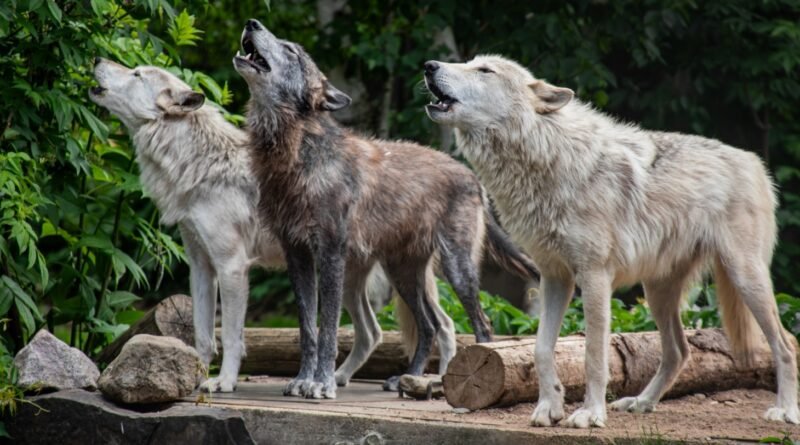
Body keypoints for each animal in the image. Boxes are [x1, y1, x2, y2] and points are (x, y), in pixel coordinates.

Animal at [88, 58, 415, 393]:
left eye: (137, 74)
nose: (98, 60)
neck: (198, 165)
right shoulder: (201, 267)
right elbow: (203, 336)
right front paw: (193, 378)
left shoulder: (232, 267)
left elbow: (232, 337)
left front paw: (224, 382)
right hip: (347, 283)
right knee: (372, 332)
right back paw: (337, 378)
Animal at [234, 20, 538, 399]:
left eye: (291, 50)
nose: (252, 23)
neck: (298, 151)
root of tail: (470, 174)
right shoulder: (298, 256)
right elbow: (307, 329)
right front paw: (303, 379)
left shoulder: (330, 255)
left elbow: (327, 328)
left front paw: (321, 384)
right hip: (403, 273)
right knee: (429, 325)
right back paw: (411, 378)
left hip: (455, 270)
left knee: (479, 323)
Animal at [423, 55, 798, 427]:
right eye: (470, 62)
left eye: (484, 70)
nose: (429, 66)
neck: (546, 156)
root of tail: (754, 161)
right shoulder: (555, 277)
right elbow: (541, 349)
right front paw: (549, 408)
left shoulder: (594, 277)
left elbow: (594, 355)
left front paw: (589, 414)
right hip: (657, 292)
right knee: (679, 351)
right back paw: (641, 402)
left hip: (744, 277)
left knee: (785, 345)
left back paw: (785, 411)